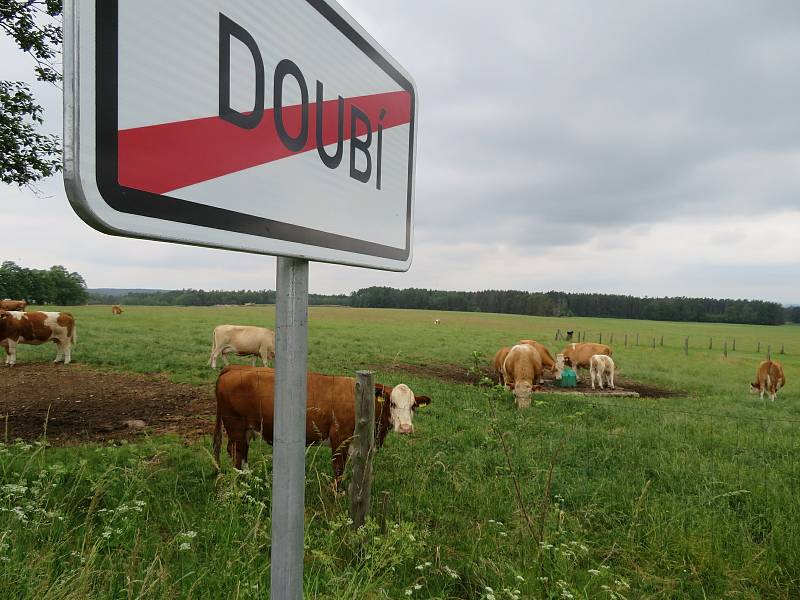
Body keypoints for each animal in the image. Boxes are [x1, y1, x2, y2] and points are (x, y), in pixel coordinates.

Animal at [212, 364, 432, 480]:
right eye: (392, 403)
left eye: (413, 406)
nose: (405, 428)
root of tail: (234, 367)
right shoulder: (339, 437)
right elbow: (338, 468)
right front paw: (338, 495)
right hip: (235, 425)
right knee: (236, 451)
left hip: (246, 428)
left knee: (240, 451)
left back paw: (248, 476)